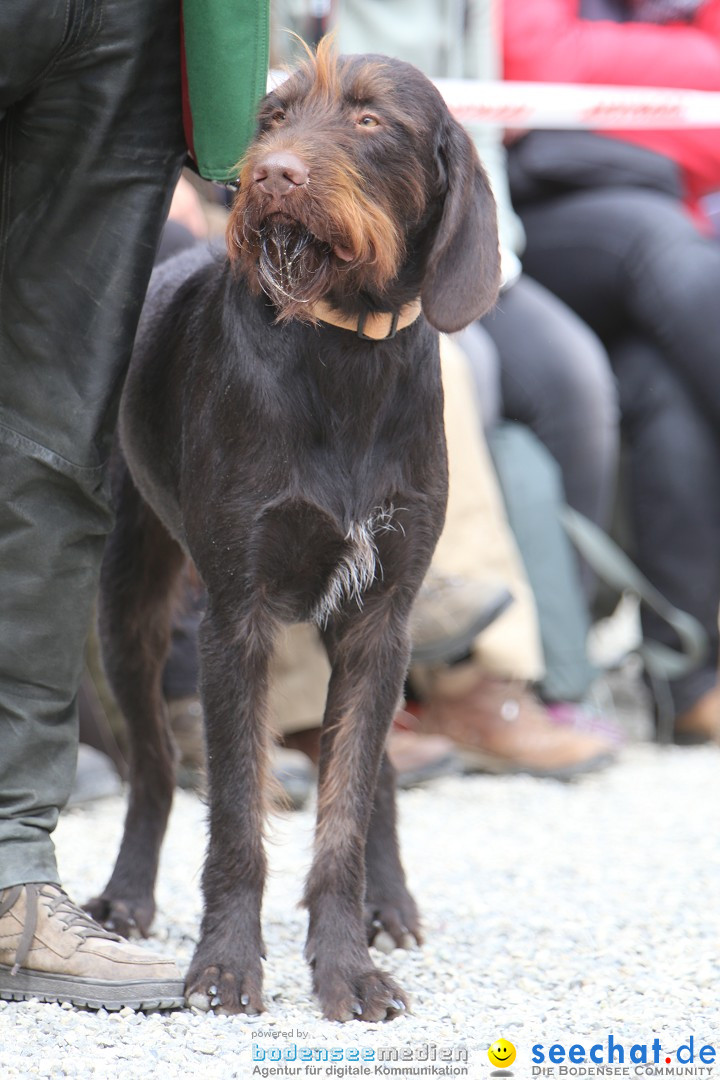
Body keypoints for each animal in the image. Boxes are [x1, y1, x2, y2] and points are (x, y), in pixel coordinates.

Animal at [87, 39, 498, 1019]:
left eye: (370, 119)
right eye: (271, 118)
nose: (269, 175)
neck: (346, 351)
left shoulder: (382, 613)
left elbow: (346, 807)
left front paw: (346, 962)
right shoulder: (239, 618)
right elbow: (236, 810)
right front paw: (226, 964)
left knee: (379, 769)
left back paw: (391, 902)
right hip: (132, 608)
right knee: (153, 767)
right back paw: (125, 898)